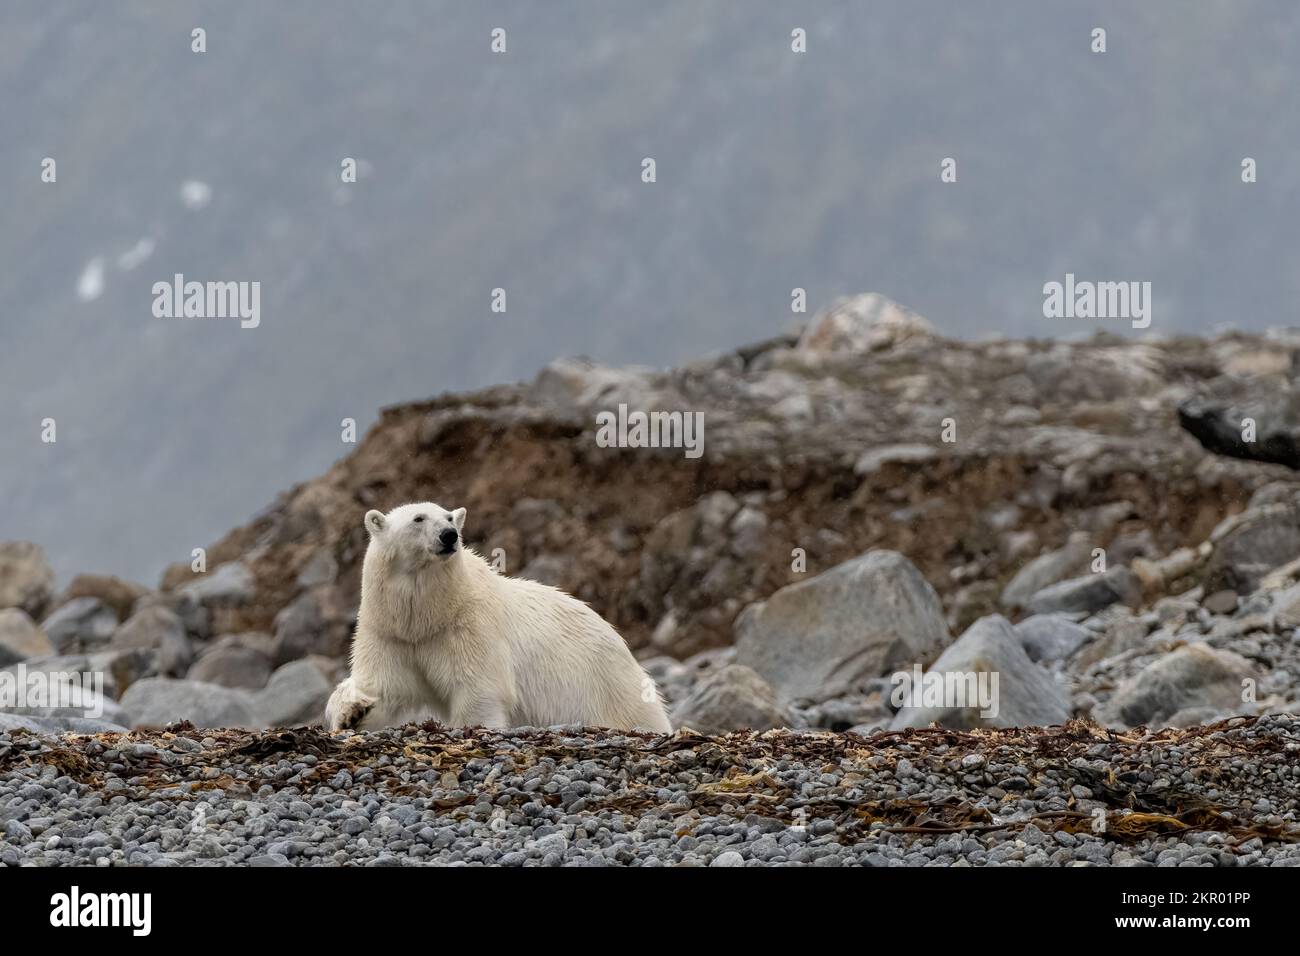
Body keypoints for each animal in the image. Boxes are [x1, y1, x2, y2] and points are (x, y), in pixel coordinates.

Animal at [325, 502, 673, 734]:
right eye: (418, 518)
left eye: (448, 517)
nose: (450, 535)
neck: (428, 614)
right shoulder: (390, 632)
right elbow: (384, 687)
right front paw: (353, 712)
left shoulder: (468, 627)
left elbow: (479, 686)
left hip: (607, 685)